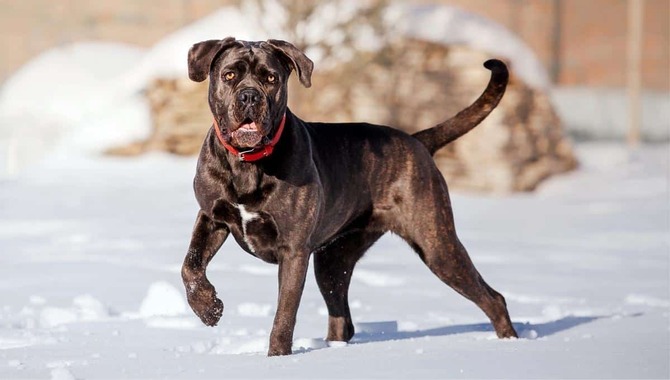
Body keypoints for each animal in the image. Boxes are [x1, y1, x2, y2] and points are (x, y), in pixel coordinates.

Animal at [180, 37, 520, 354]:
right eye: (229, 75)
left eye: (271, 78)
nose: (250, 95)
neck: (247, 162)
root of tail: (416, 141)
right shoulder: (211, 217)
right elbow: (190, 266)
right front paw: (208, 309)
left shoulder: (293, 251)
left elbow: (284, 314)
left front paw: (277, 357)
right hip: (333, 260)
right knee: (342, 318)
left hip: (437, 245)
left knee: (493, 298)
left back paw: (510, 342)